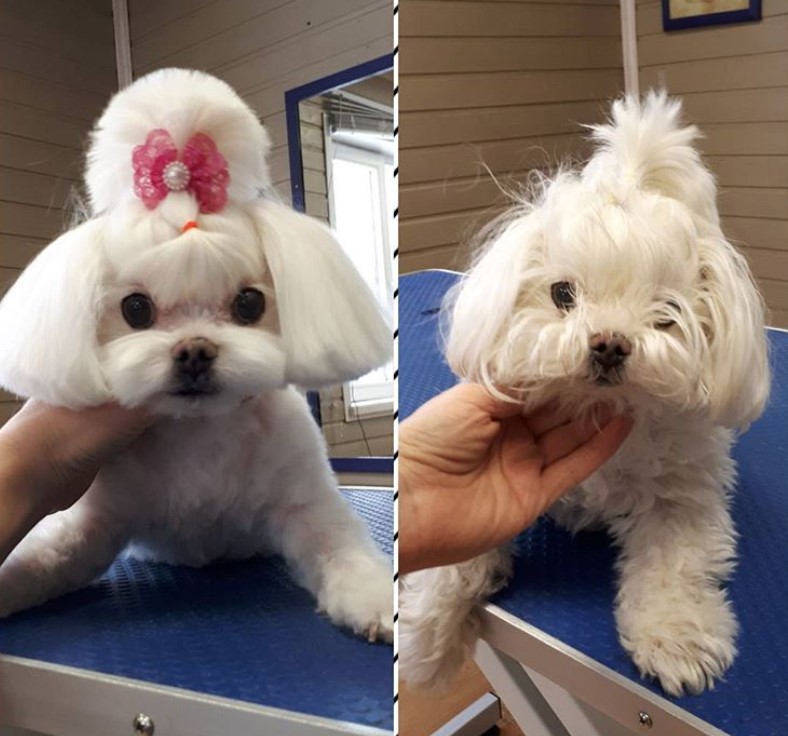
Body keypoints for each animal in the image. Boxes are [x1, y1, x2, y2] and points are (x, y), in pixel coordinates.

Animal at [0, 70, 394, 644]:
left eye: (249, 303)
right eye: (135, 308)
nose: (194, 351)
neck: (200, 433)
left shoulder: (305, 504)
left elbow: (341, 548)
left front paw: (377, 601)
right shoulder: (98, 519)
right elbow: (49, 555)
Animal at [400, 93, 768, 696]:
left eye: (667, 315)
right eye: (562, 294)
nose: (610, 345)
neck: (603, 411)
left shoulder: (683, 497)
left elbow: (674, 567)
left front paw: (676, 639)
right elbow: (457, 555)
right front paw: (428, 634)